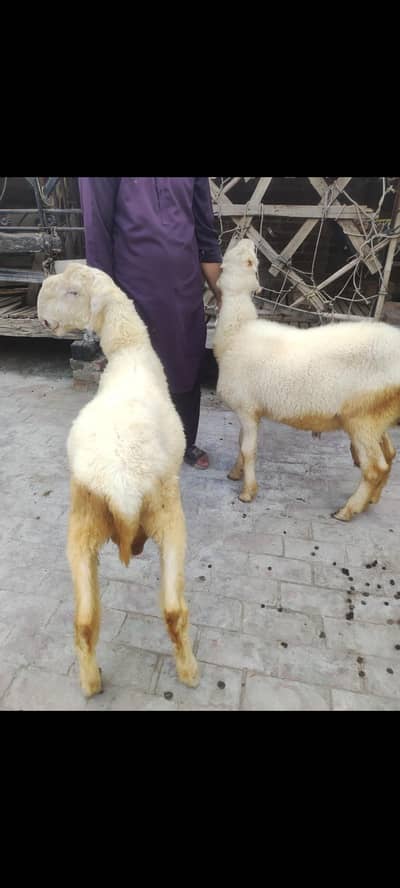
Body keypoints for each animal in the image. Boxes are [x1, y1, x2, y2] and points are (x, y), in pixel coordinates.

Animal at [37, 264, 199, 697]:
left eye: (73, 292)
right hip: (169, 516)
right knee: (174, 609)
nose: (42, 314)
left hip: (81, 528)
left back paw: (91, 683)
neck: (129, 351)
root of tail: (121, 487)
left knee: (84, 621)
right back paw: (190, 672)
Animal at [213, 238, 400, 522]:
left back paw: (348, 510)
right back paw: (372, 500)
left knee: (375, 467)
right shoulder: (251, 410)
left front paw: (247, 492)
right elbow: (240, 445)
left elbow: (248, 450)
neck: (237, 330)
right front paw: (236, 473)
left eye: (250, 261)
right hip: (378, 416)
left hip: (362, 419)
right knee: (389, 456)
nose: (249, 240)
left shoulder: (246, 408)